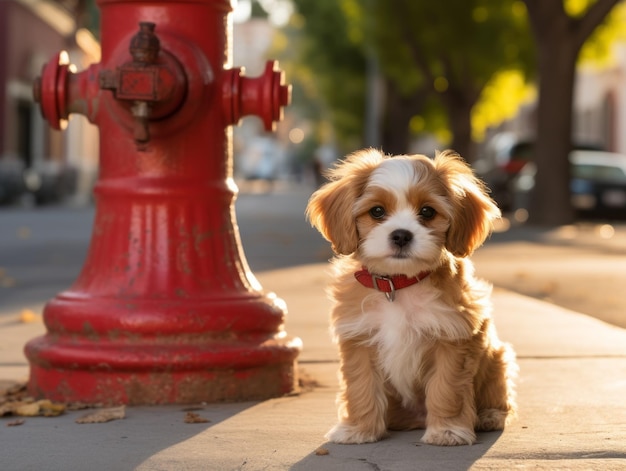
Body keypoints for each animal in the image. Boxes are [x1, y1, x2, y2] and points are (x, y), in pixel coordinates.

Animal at [304, 149, 516, 448]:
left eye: (427, 211)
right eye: (377, 211)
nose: (401, 235)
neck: (398, 284)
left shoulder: (452, 338)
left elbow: (447, 388)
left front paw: (447, 430)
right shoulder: (358, 338)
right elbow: (361, 385)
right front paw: (358, 429)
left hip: (498, 357)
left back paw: (490, 415)